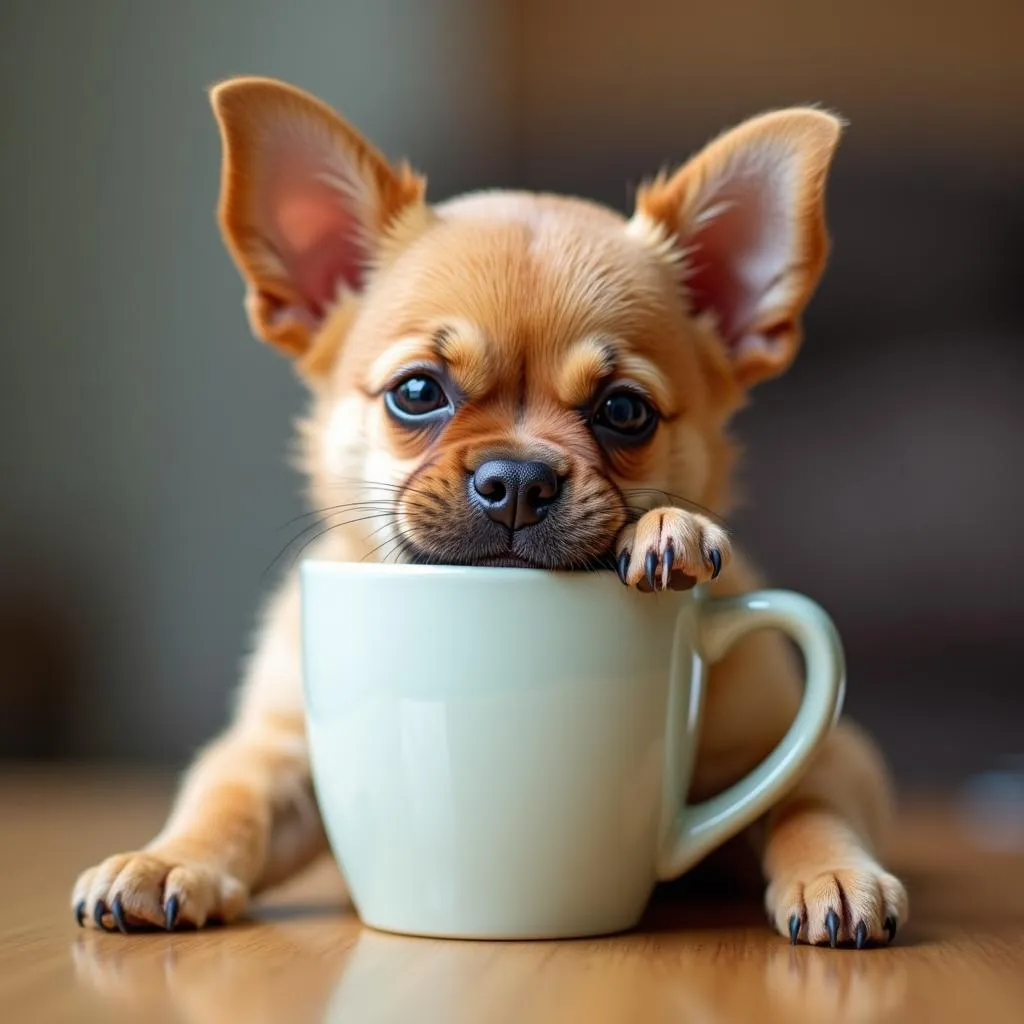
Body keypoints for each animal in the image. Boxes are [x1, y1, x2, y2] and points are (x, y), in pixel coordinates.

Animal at [70, 75, 905, 946]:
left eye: (625, 412)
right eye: (416, 392)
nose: (518, 478)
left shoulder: (827, 750)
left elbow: (808, 801)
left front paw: (836, 873)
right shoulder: (278, 747)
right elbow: (230, 803)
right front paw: (168, 860)